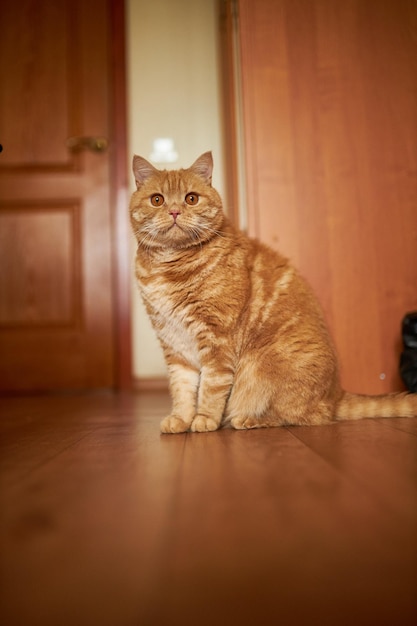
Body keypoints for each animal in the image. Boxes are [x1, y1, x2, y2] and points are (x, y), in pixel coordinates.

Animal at [130, 154, 416, 432]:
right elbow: (182, 389)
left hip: (263, 368)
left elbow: (211, 387)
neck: (168, 265)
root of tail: (336, 395)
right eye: (157, 200)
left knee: (308, 416)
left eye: (191, 198)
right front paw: (180, 419)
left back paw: (247, 419)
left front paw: (205, 419)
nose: (174, 211)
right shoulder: (173, 343)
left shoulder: (217, 339)